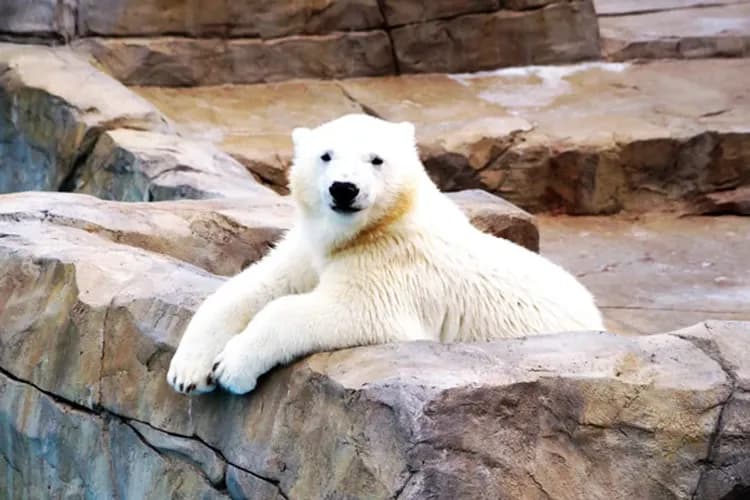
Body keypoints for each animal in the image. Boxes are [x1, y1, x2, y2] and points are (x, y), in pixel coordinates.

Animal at [167, 114, 604, 395]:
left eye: (376, 160)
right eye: (325, 155)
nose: (344, 189)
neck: (374, 227)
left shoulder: (395, 264)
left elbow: (351, 310)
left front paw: (231, 366)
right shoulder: (310, 247)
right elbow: (256, 285)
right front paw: (187, 371)